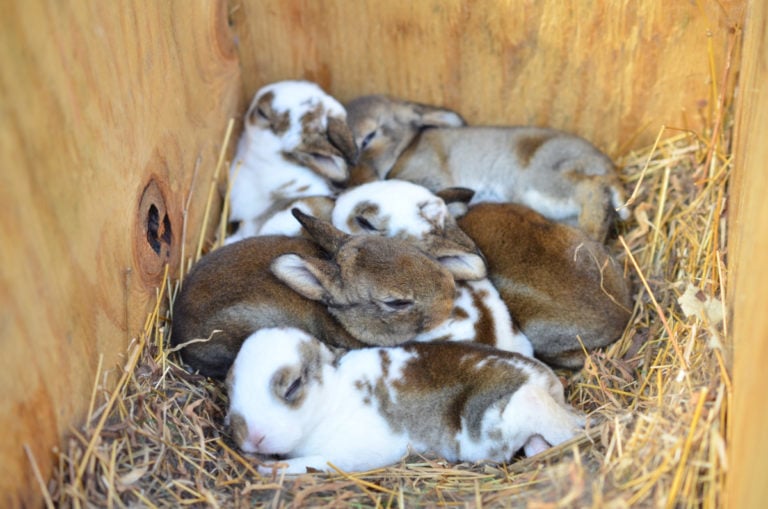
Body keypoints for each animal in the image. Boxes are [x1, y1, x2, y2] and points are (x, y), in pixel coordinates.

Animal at [226, 327, 586, 474]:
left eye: (293, 387)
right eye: (230, 387)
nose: (253, 437)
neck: (329, 398)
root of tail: (542, 376)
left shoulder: (345, 455)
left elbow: (311, 464)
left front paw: (268, 469)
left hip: (488, 425)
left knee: (538, 409)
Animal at [345, 94, 629, 243]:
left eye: (369, 137)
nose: (355, 183)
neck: (406, 147)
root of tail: (607, 167)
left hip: (544, 185)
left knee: (592, 189)